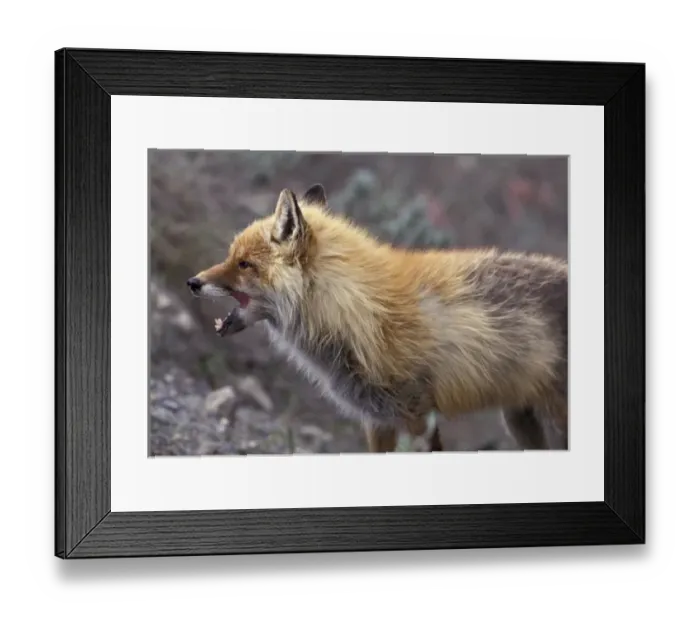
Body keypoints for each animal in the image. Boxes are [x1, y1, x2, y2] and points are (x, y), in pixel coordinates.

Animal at [186, 183, 568, 453]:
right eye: (231, 256)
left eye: (244, 264)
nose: (192, 282)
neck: (356, 312)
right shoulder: (377, 419)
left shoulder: (418, 417)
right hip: (521, 420)